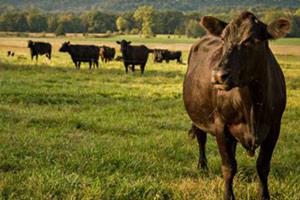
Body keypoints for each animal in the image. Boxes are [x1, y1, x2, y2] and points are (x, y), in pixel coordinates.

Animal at [183, 11, 290, 200]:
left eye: (252, 40)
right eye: (223, 39)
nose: (218, 75)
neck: (253, 104)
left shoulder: (274, 126)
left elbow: (263, 166)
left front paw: (264, 195)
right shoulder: (221, 125)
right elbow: (228, 167)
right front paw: (228, 195)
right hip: (199, 117)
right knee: (201, 138)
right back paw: (202, 166)